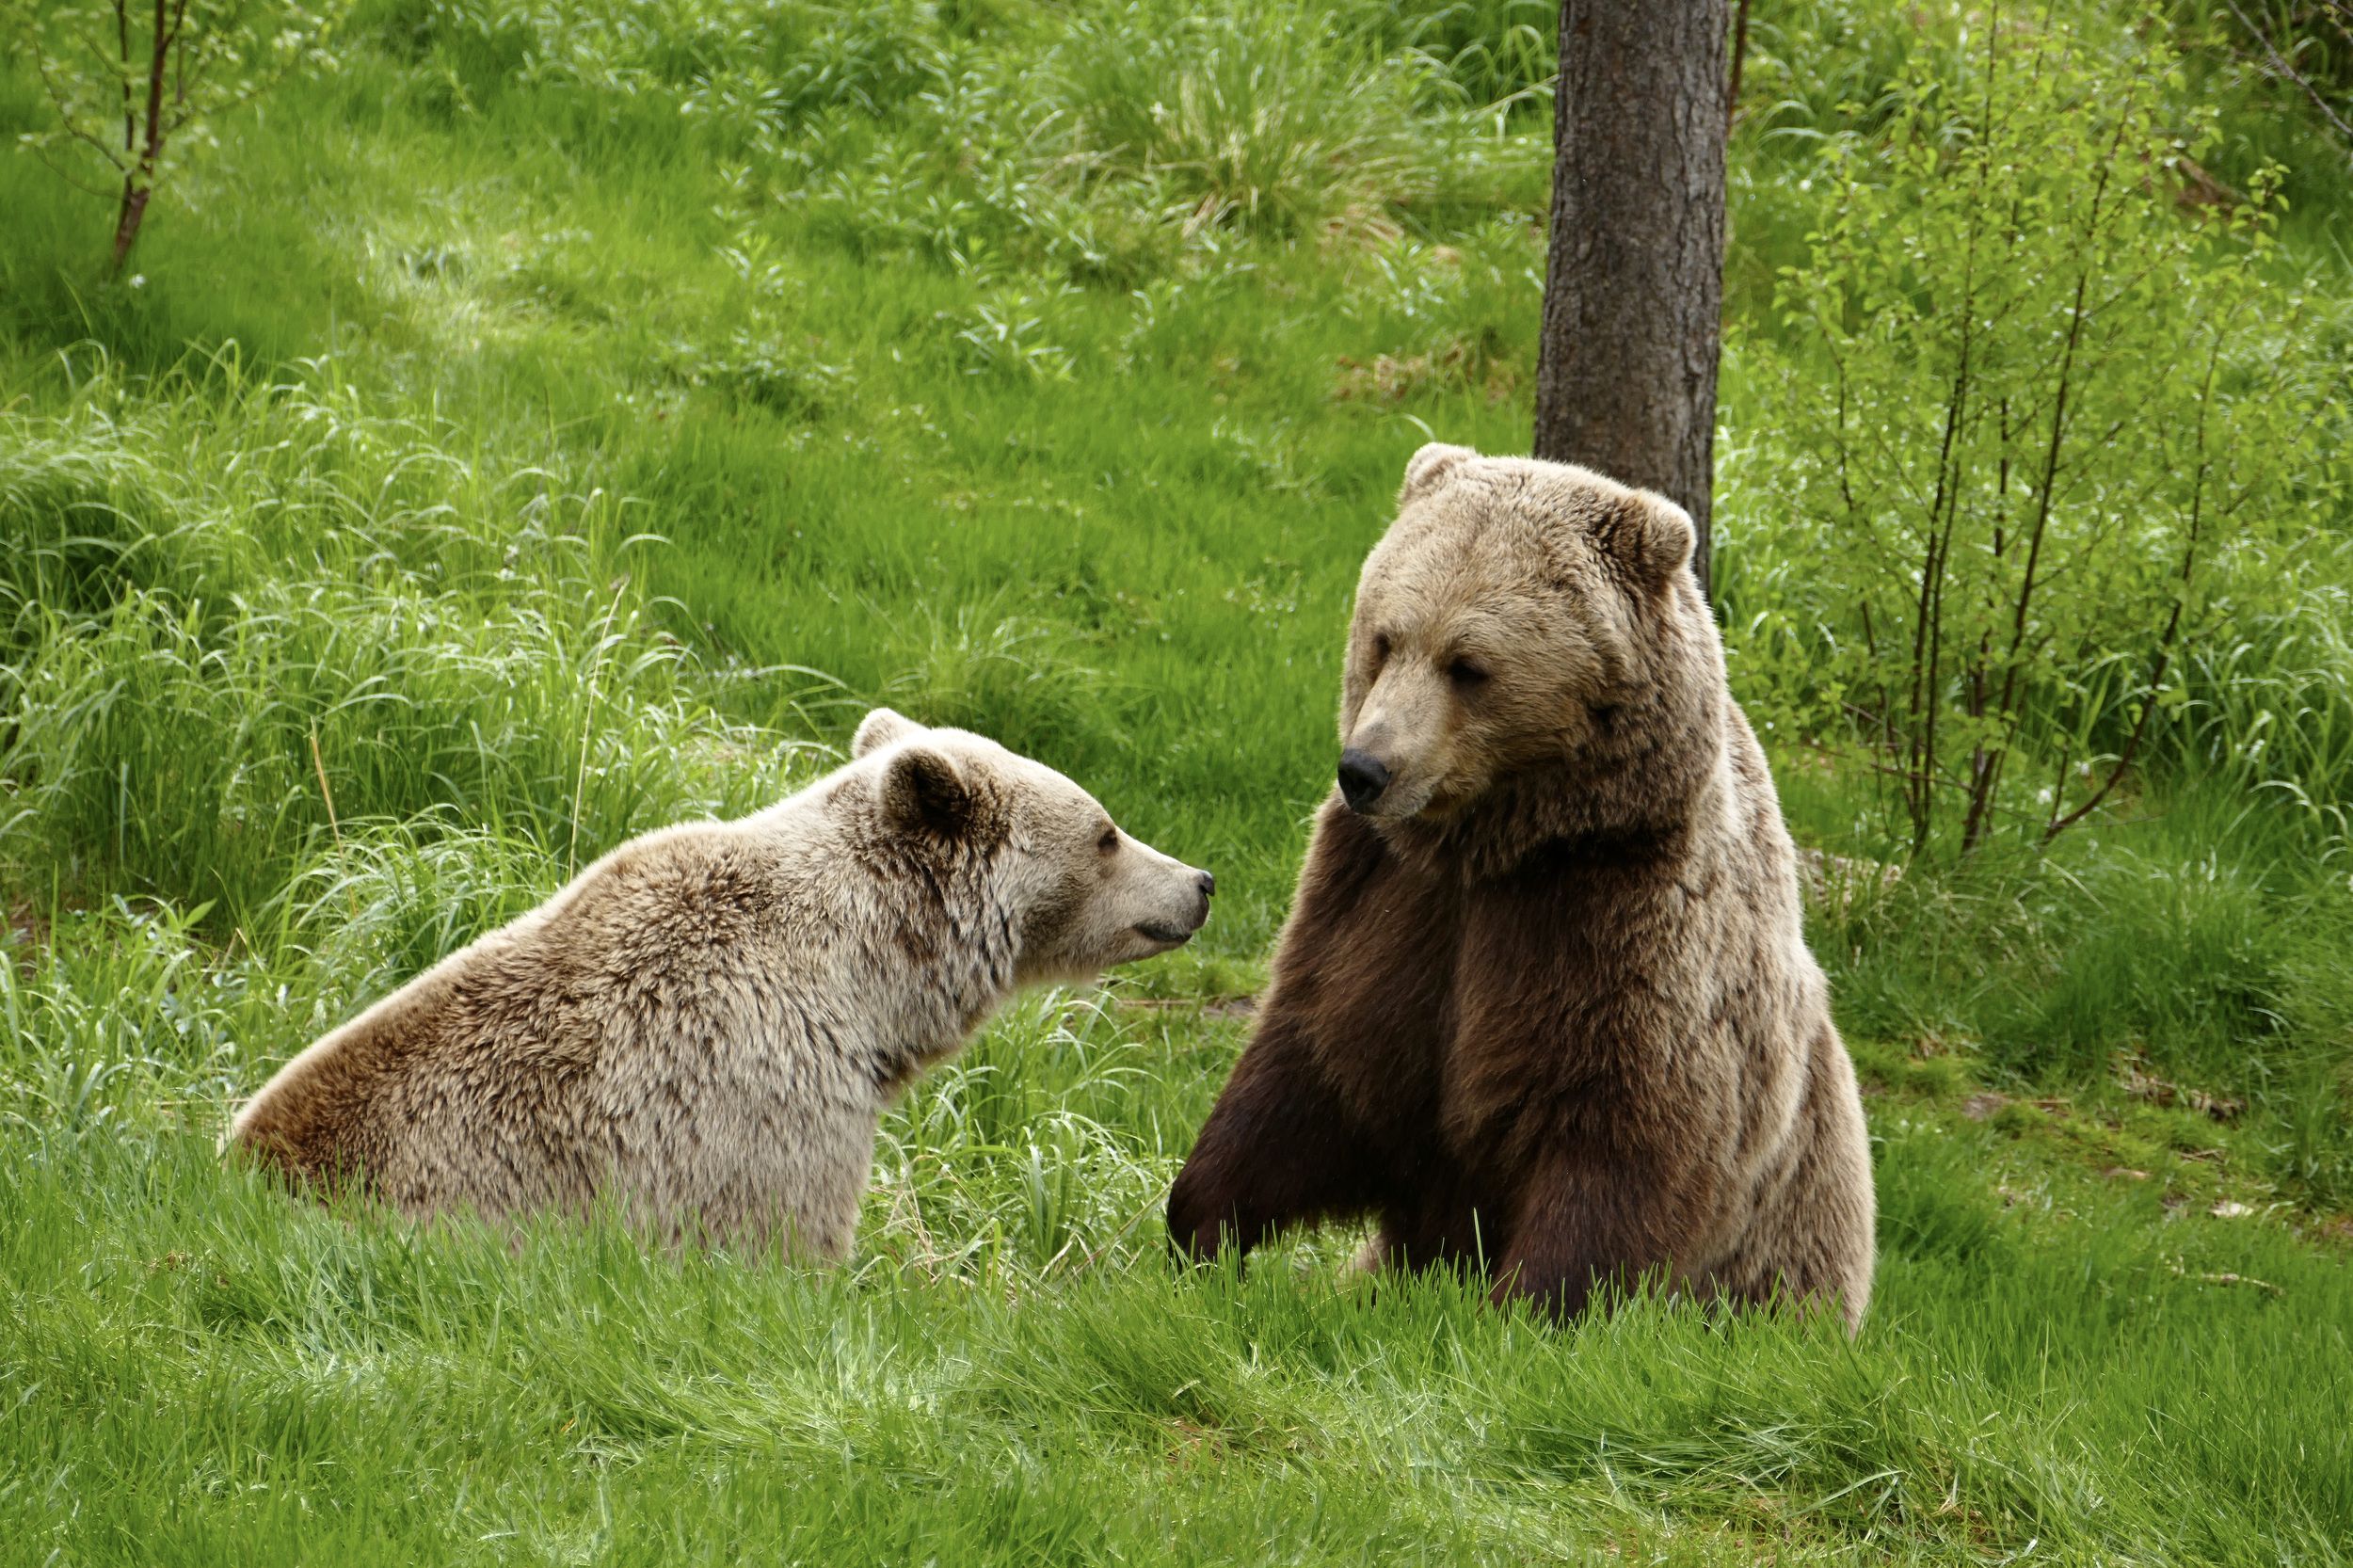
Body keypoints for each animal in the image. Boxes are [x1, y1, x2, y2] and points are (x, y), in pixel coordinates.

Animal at [1172, 444, 1873, 1327]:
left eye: (1468, 665)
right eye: (1384, 637)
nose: (1365, 769)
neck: (1495, 850)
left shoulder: (1619, 928)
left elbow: (1621, 1140)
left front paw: (1527, 1308)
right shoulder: (1386, 901)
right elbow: (1315, 1067)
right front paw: (1200, 1224)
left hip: (1791, 1254)